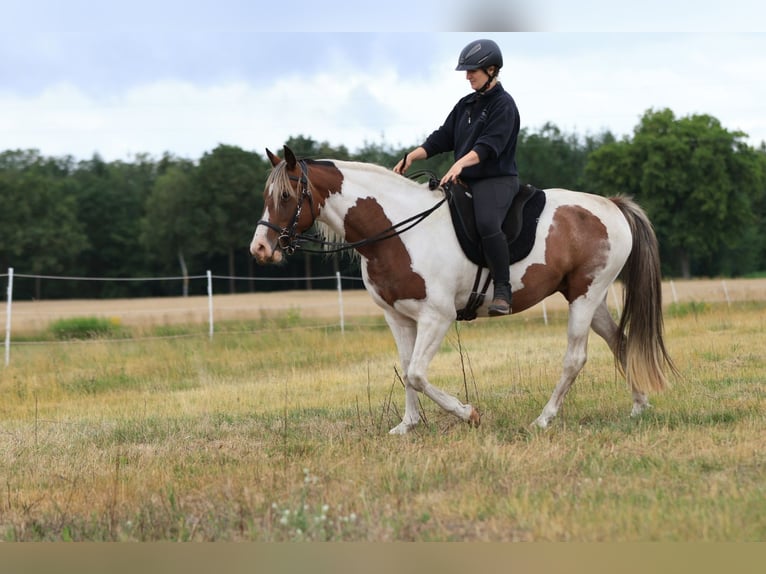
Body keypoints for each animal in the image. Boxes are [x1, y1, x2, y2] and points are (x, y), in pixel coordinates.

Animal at [250, 145, 677, 434]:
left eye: (285, 196)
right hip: (587, 296)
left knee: (575, 358)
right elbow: (406, 368)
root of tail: (612, 205)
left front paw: (467, 413)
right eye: (266, 196)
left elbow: (417, 374)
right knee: (619, 341)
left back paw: (544, 418)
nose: (260, 249)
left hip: (586, 297)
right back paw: (639, 405)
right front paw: (407, 425)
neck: (397, 230)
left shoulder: (437, 317)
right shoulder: (398, 316)